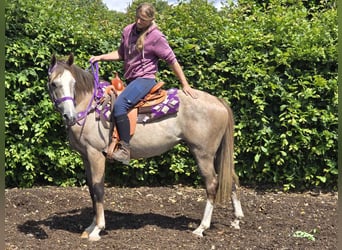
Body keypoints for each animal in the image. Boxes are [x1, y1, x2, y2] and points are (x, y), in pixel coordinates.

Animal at [47, 53, 243, 241]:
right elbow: (91, 190)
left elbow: (98, 189)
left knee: (212, 184)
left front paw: (97, 229)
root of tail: (218, 101)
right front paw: (90, 227)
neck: (91, 108)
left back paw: (201, 228)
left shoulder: (96, 155)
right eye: (54, 84)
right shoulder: (86, 156)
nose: (70, 116)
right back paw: (236, 219)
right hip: (217, 153)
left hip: (203, 154)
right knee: (232, 179)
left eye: (73, 83)